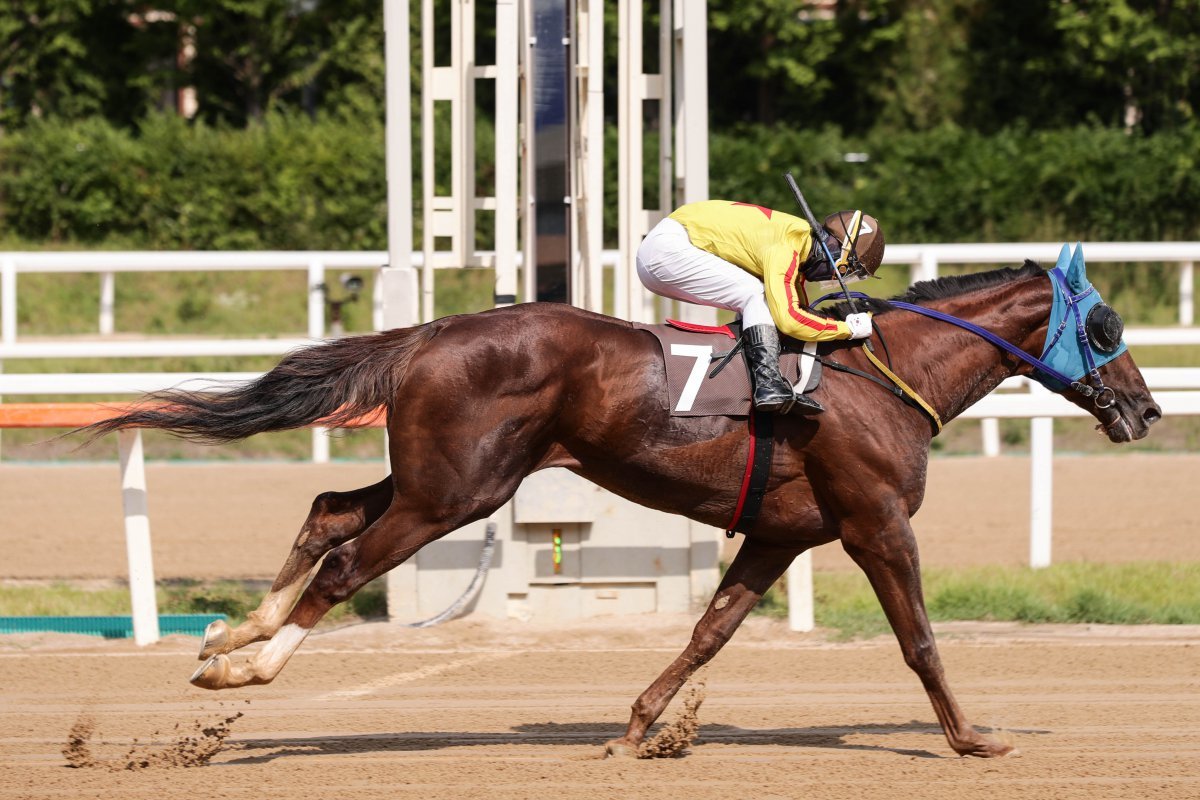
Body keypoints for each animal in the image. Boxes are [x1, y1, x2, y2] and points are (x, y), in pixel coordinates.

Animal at [84, 248, 1161, 758]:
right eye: (1108, 325)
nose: (1149, 408)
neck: (882, 374)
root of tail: (431, 329)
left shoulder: (778, 535)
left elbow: (708, 632)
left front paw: (637, 728)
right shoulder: (874, 524)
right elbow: (920, 640)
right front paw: (973, 736)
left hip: (442, 477)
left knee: (329, 510)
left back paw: (229, 635)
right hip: (458, 490)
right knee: (349, 557)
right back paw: (247, 666)